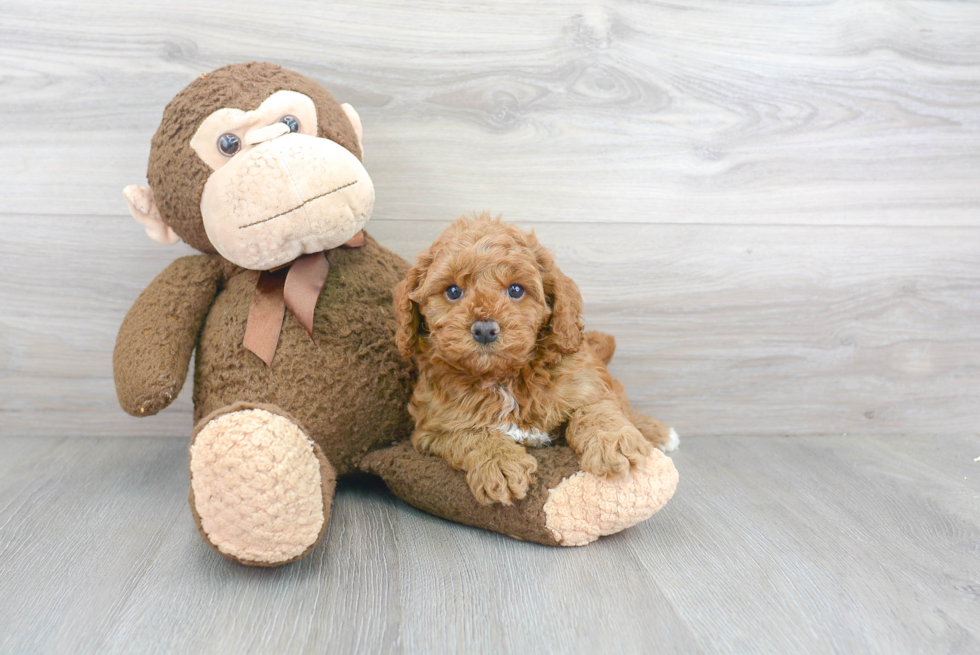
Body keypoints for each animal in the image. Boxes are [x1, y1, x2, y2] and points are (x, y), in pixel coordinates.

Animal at [394, 215, 676, 508]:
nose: (484, 329)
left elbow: (595, 410)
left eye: (516, 289)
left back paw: (658, 431)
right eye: (452, 291)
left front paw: (614, 444)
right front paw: (499, 465)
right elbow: (470, 433)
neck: (504, 377)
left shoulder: (587, 385)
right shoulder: (434, 426)